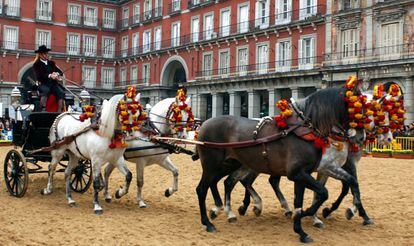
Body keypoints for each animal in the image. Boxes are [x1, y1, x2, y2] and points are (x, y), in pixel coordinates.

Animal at [196, 86, 354, 242]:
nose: (353, 137)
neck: (305, 131)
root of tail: (204, 124)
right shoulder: (297, 173)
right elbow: (322, 192)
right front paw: (308, 214)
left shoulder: (303, 174)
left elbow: (300, 202)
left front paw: (301, 230)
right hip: (212, 165)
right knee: (202, 189)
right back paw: (208, 223)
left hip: (229, 164)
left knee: (220, 182)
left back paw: (221, 210)